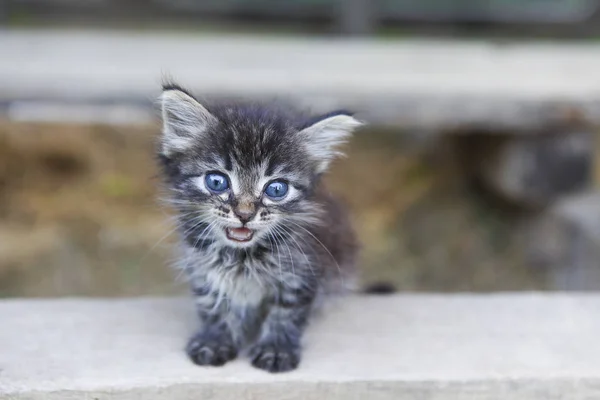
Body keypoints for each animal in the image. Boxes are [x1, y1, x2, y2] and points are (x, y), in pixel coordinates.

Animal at [156, 83, 360, 374]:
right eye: (216, 181)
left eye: (276, 189)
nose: (244, 214)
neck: (241, 257)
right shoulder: (200, 264)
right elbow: (212, 303)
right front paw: (215, 340)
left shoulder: (303, 270)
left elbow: (286, 311)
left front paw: (276, 349)